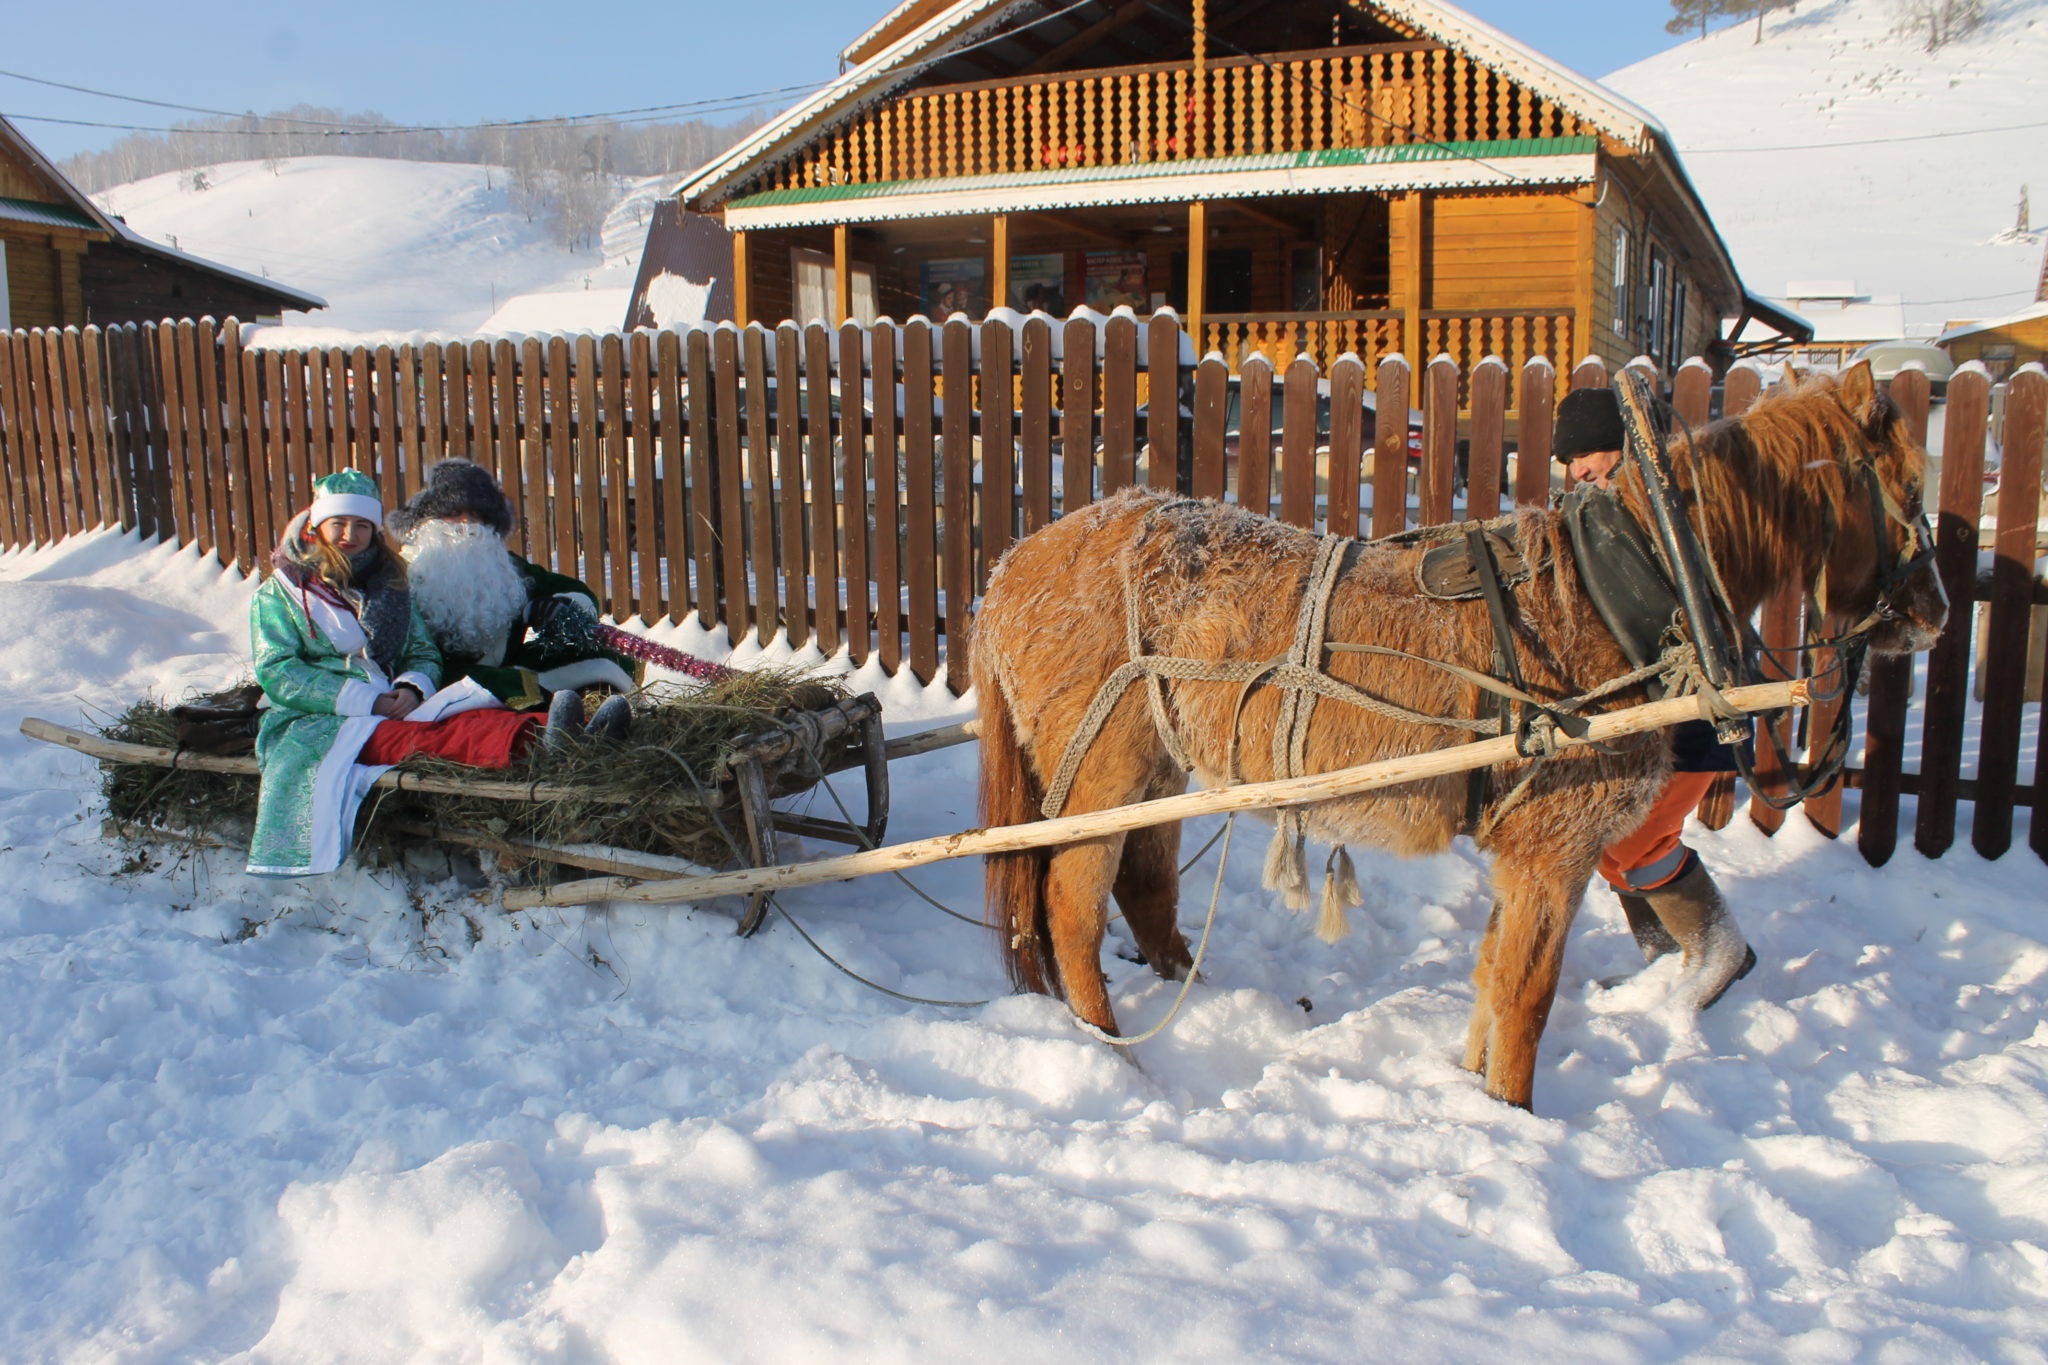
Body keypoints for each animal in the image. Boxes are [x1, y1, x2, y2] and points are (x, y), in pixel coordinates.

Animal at [974, 362, 1949, 1113]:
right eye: (1909, 490)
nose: (1936, 613)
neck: (1621, 582)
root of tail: (1009, 568)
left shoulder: (1529, 851)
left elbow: (1492, 977)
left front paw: (1473, 1091)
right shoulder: (1554, 851)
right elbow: (1525, 997)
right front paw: (1515, 1118)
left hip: (1158, 769)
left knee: (1143, 891)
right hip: (1101, 772)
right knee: (1070, 904)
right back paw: (1113, 1050)